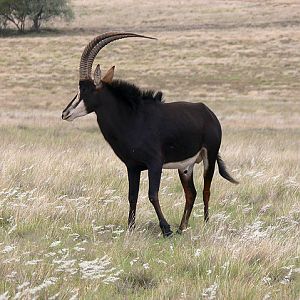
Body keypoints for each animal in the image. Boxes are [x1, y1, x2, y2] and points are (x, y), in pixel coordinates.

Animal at [62, 31, 238, 237]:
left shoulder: (155, 163)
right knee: (191, 193)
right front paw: (131, 228)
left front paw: (166, 229)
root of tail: (208, 112)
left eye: (85, 90)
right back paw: (182, 228)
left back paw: (205, 224)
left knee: (206, 191)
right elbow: (132, 196)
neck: (132, 118)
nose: (65, 113)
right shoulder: (132, 167)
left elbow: (152, 195)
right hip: (185, 167)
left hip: (209, 156)